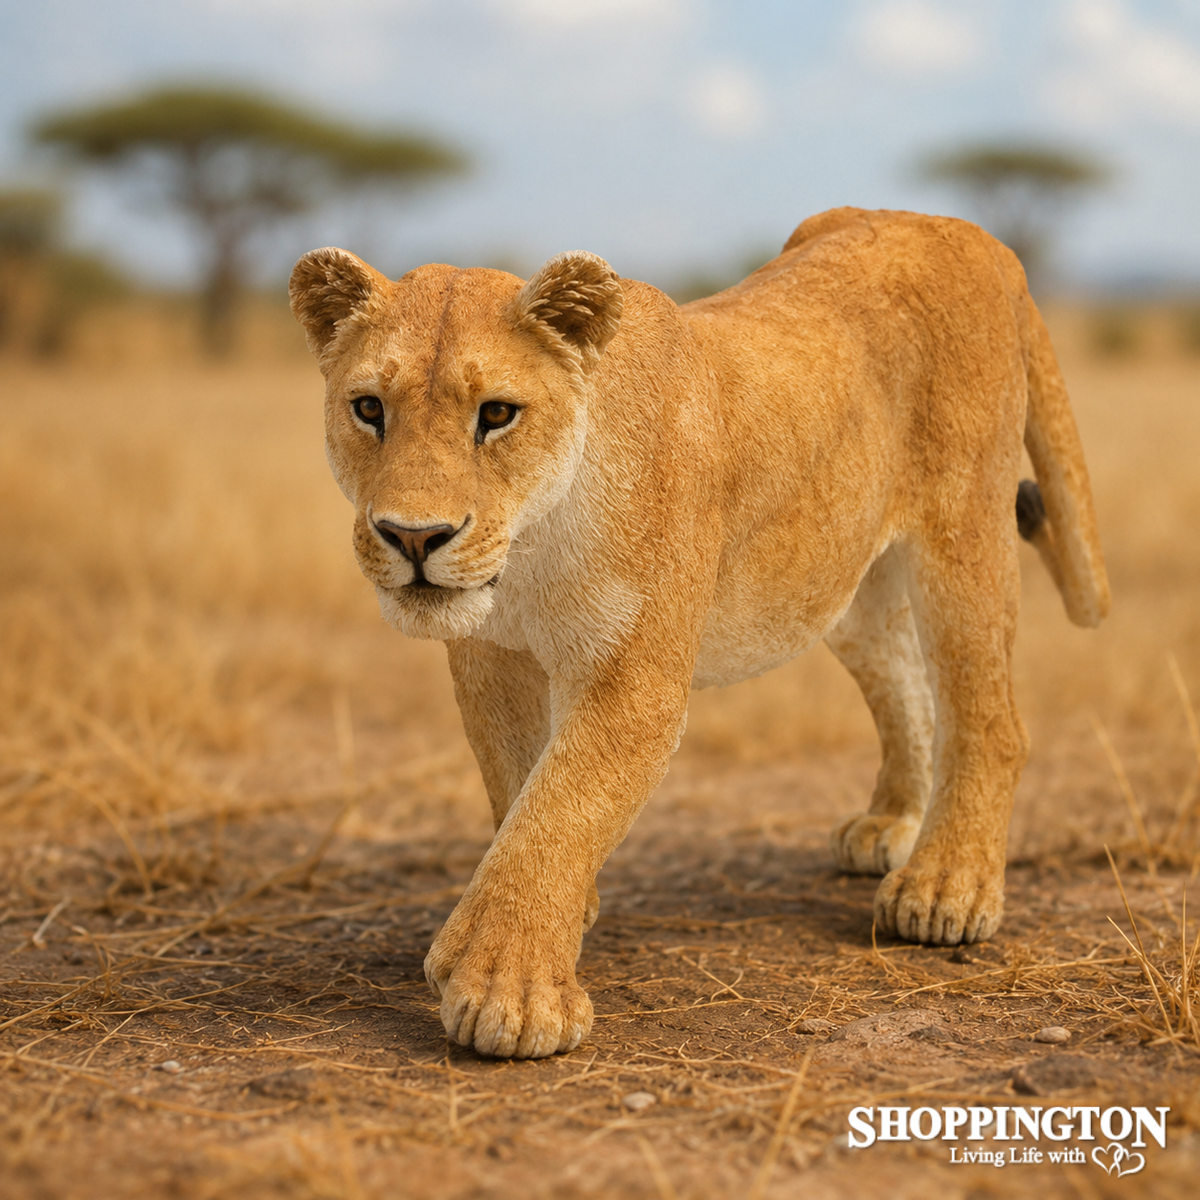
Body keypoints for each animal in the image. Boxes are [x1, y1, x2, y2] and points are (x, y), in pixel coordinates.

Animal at [289, 206, 1109, 1060]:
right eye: (370, 409)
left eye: (497, 414)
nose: (413, 538)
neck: (532, 548)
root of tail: (968, 230)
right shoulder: (490, 660)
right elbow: (520, 792)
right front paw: (558, 922)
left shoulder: (634, 682)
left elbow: (558, 810)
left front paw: (507, 988)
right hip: (837, 583)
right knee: (906, 680)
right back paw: (893, 827)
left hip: (963, 534)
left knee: (992, 715)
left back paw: (947, 888)